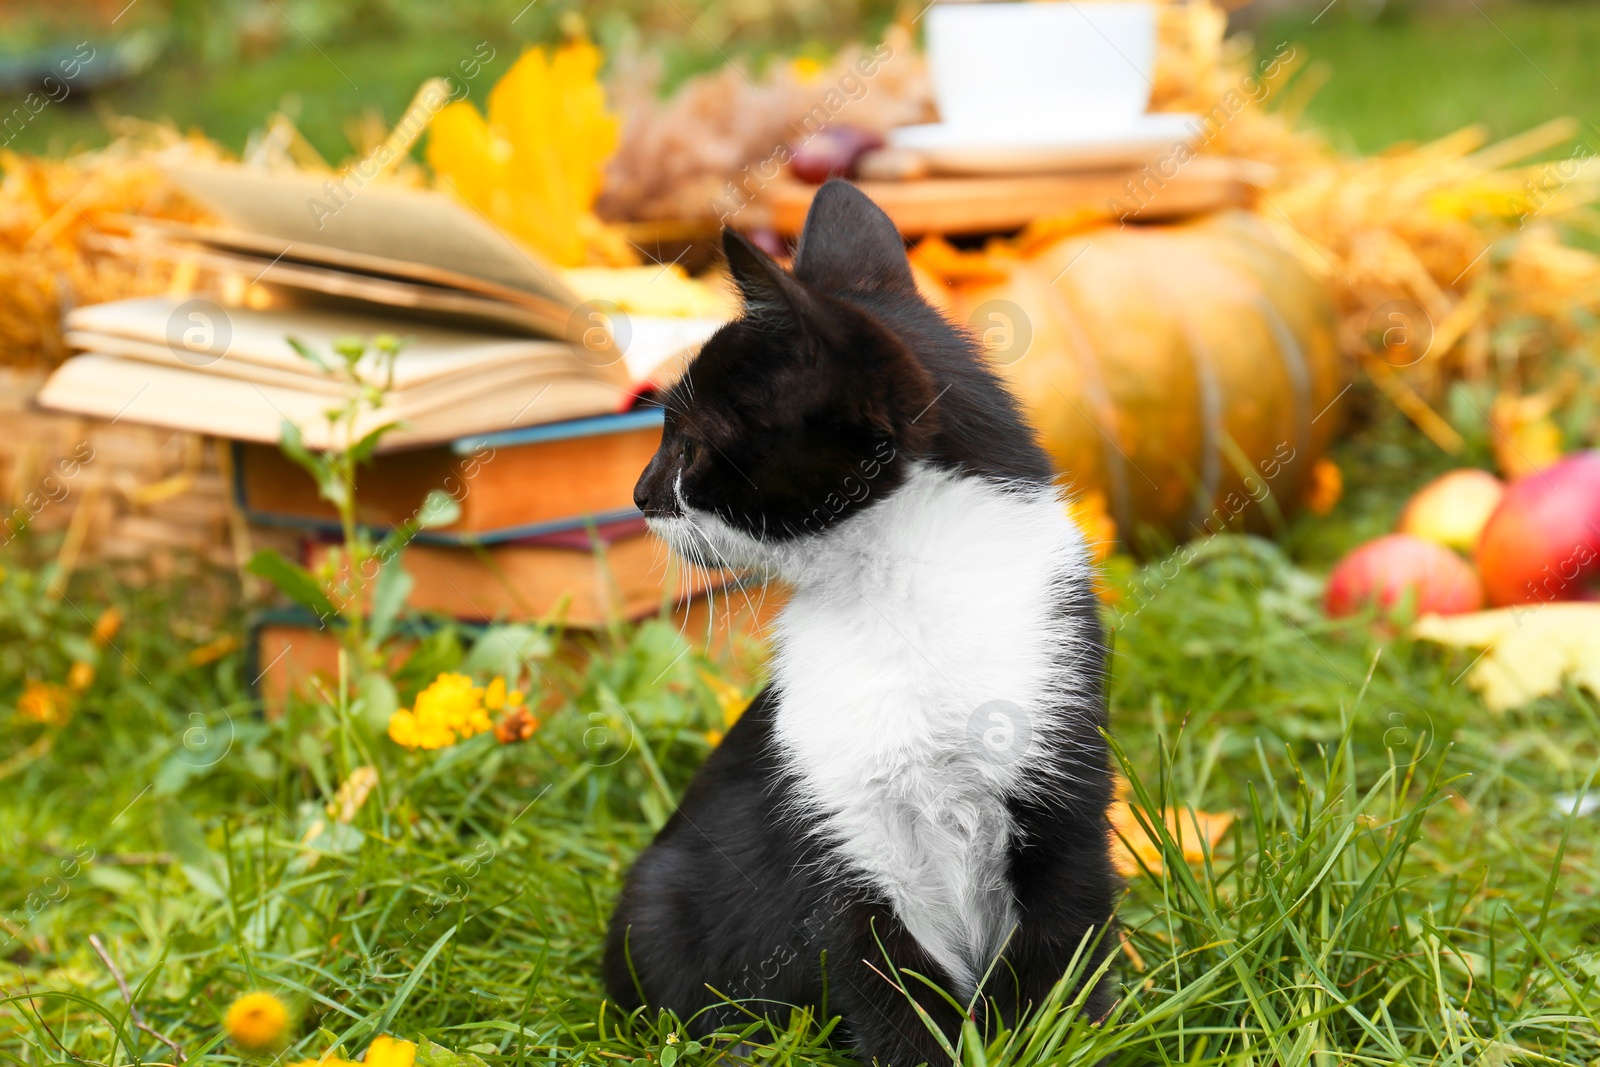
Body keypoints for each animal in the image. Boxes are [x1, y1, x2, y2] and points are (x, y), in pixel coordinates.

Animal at [601, 179, 1113, 1062]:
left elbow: (1062, 954)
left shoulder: (1065, 777)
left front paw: (1050, 1037)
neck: (896, 600)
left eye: (687, 443)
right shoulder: (842, 830)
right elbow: (886, 982)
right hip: (658, 900)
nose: (639, 492)